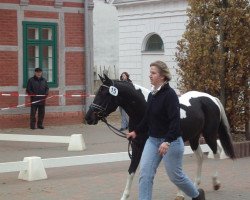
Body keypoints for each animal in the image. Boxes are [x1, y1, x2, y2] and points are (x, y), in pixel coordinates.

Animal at [85, 74, 235, 200]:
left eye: (104, 93)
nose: (88, 117)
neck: (144, 109)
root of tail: (211, 98)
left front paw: (180, 193)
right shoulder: (137, 146)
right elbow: (132, 171)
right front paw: (124, 196)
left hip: (209, 134)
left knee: (216, 152)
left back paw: (215, 182)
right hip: (194, 137)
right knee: (200, 156)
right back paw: (195, 186)